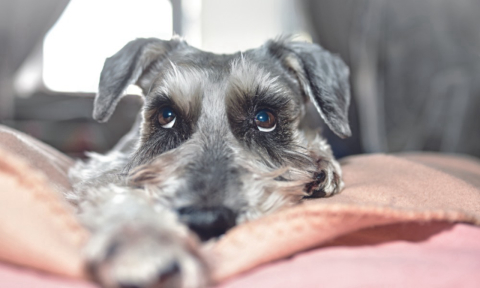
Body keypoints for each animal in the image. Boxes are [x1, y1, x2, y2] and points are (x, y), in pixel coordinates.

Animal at [67, 36, 350, 288]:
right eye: (166, 115)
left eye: (264, 118)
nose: (206, 221)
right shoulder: (104, 168)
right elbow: (117, 194)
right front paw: (146, 240)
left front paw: (321, 161)